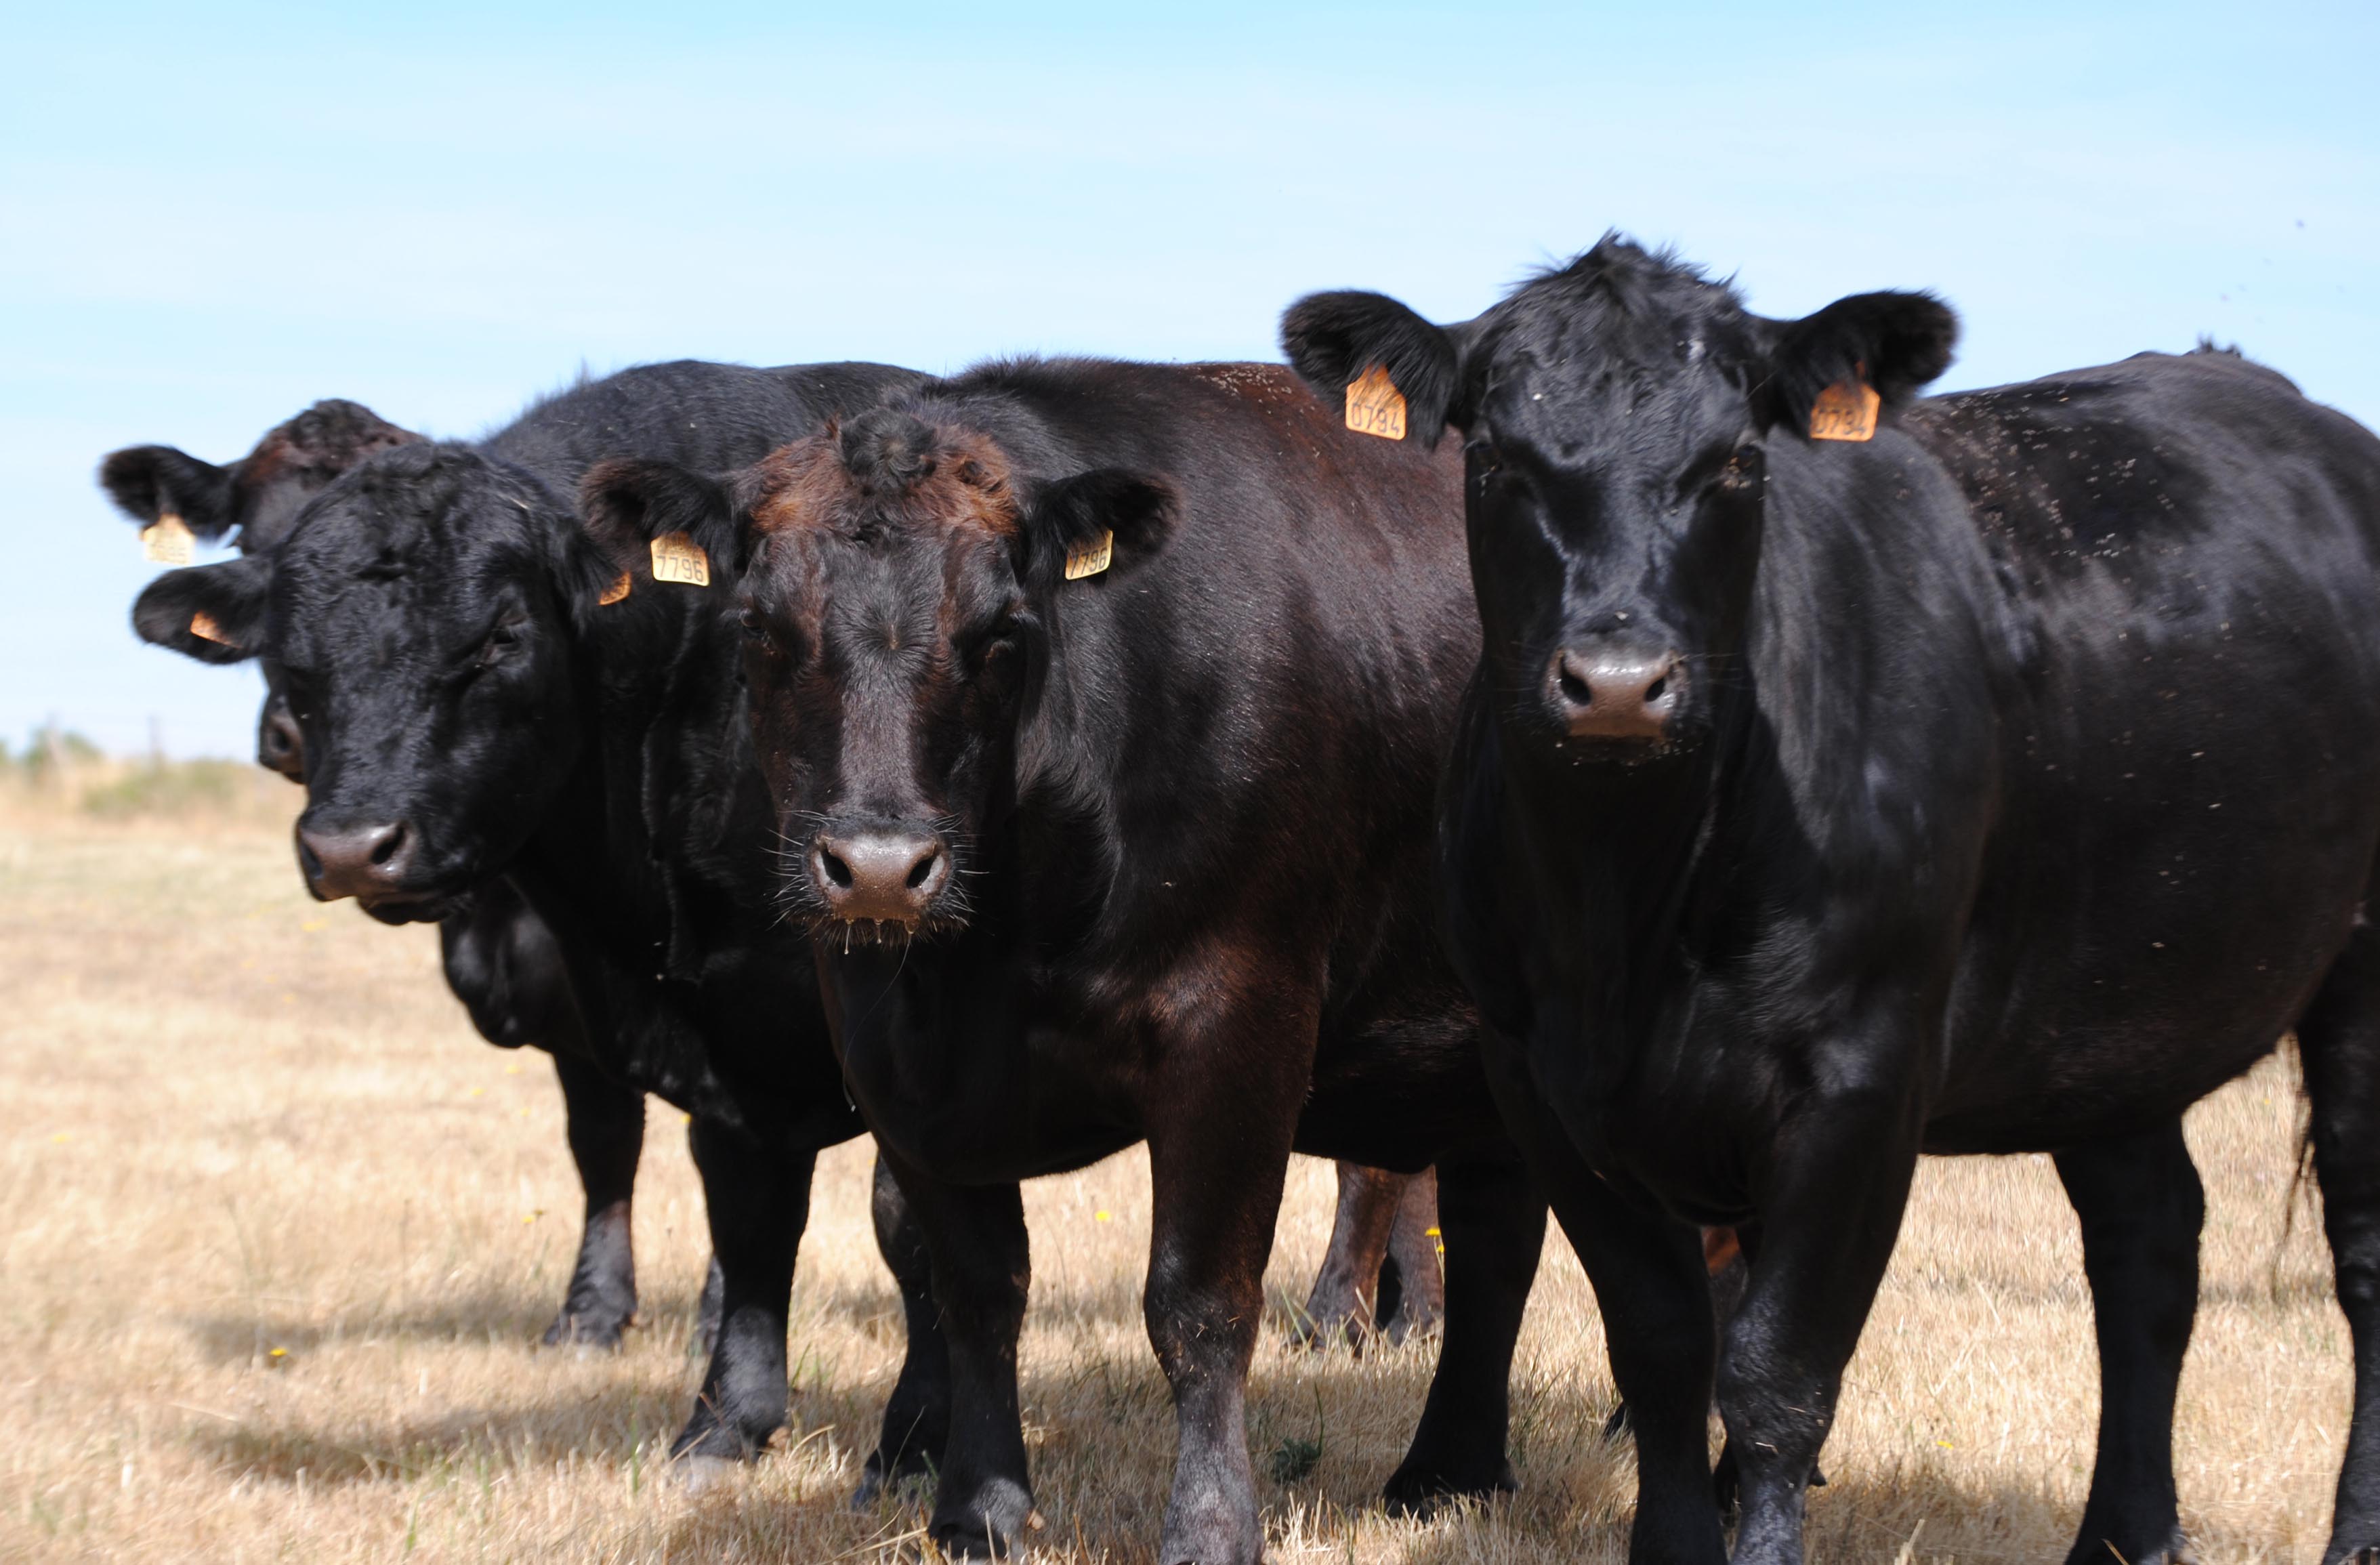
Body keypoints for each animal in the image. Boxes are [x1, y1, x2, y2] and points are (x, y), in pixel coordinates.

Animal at [580, 360, 1555, 1564]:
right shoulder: (890, 1054)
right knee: (1496, 1234)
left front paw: (1210, 1527)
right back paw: (1445, 1471)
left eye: (1003, 631)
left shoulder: (1238, 1021)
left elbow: (1198, 1300)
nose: (880, 868)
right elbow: (975, 1283)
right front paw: (978, 1507)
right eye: (758, 625)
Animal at [1281, 235, 2380, 1565]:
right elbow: (1661, 1349)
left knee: (2363, 1256)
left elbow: (1773, 1377)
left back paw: (2351, 1534)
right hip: (2115, 1010)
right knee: (2147, 1247)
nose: (1615, 682)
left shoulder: (1861, 1081)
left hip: (2361, 983)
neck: (1628, 908)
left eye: (1737, 462)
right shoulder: (1540, 1080)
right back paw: (2125, 1537)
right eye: (1495, 459)